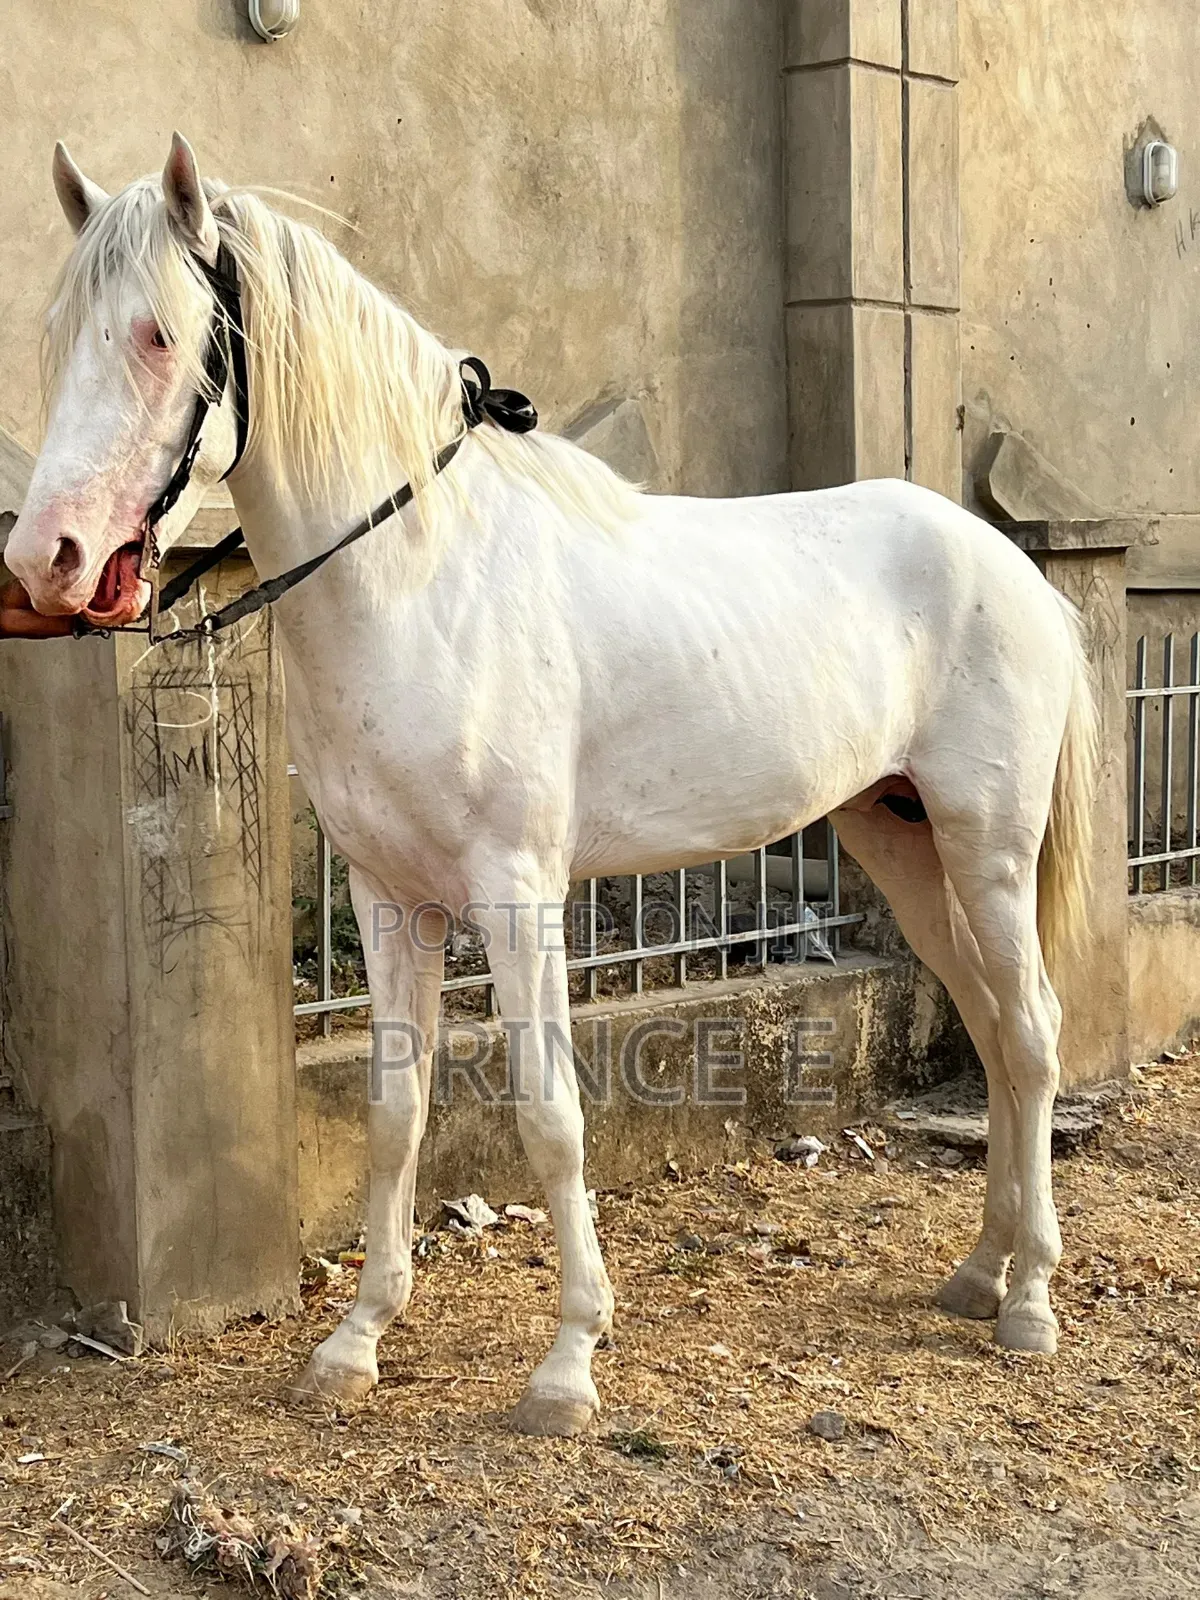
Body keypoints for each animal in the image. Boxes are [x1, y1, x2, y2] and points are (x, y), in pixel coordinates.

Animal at [6, 134, 1098, 1437]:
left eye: (162, 335)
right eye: (58, 332)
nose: (46, 562)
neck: (423, 580)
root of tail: (1013, 568)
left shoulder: (518, 894)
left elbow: (550, 1114)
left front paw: (570, 1360)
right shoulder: (389, 897)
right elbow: (396, 1114)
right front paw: (357, 1340)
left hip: (988, 846)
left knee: (1031, 1033)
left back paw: (1030, 1301)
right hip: (901, 840)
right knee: (991, 1028)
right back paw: (981, 1271)